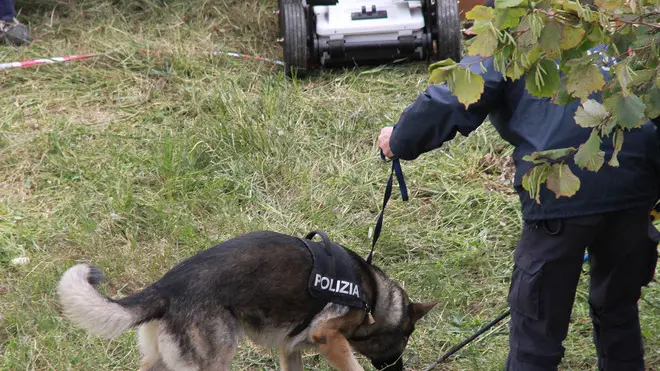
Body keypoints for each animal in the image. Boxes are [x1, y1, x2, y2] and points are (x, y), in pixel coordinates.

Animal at [58, 231, 438, 370]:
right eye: (405, 339)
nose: (398, 370)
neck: (373, 295)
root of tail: (164, 287)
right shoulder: (329, 337)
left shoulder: (290, 349)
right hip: (215, 361)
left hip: (162, 362)